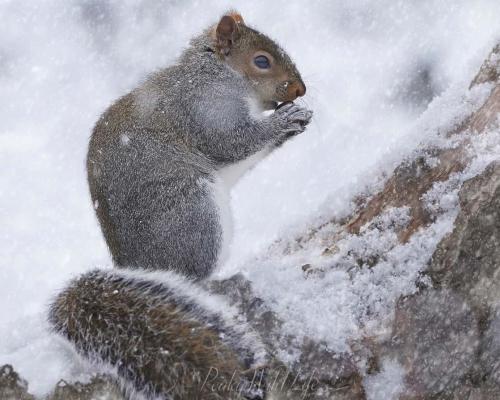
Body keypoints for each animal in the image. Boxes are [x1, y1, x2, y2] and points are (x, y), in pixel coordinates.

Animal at [48, 10, 310, 398]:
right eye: (261, 61)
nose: (300, 90)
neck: (215, 72)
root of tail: (137, 266)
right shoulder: (205, 110)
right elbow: (233, 143)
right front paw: (284, 120)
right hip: (195, 214)